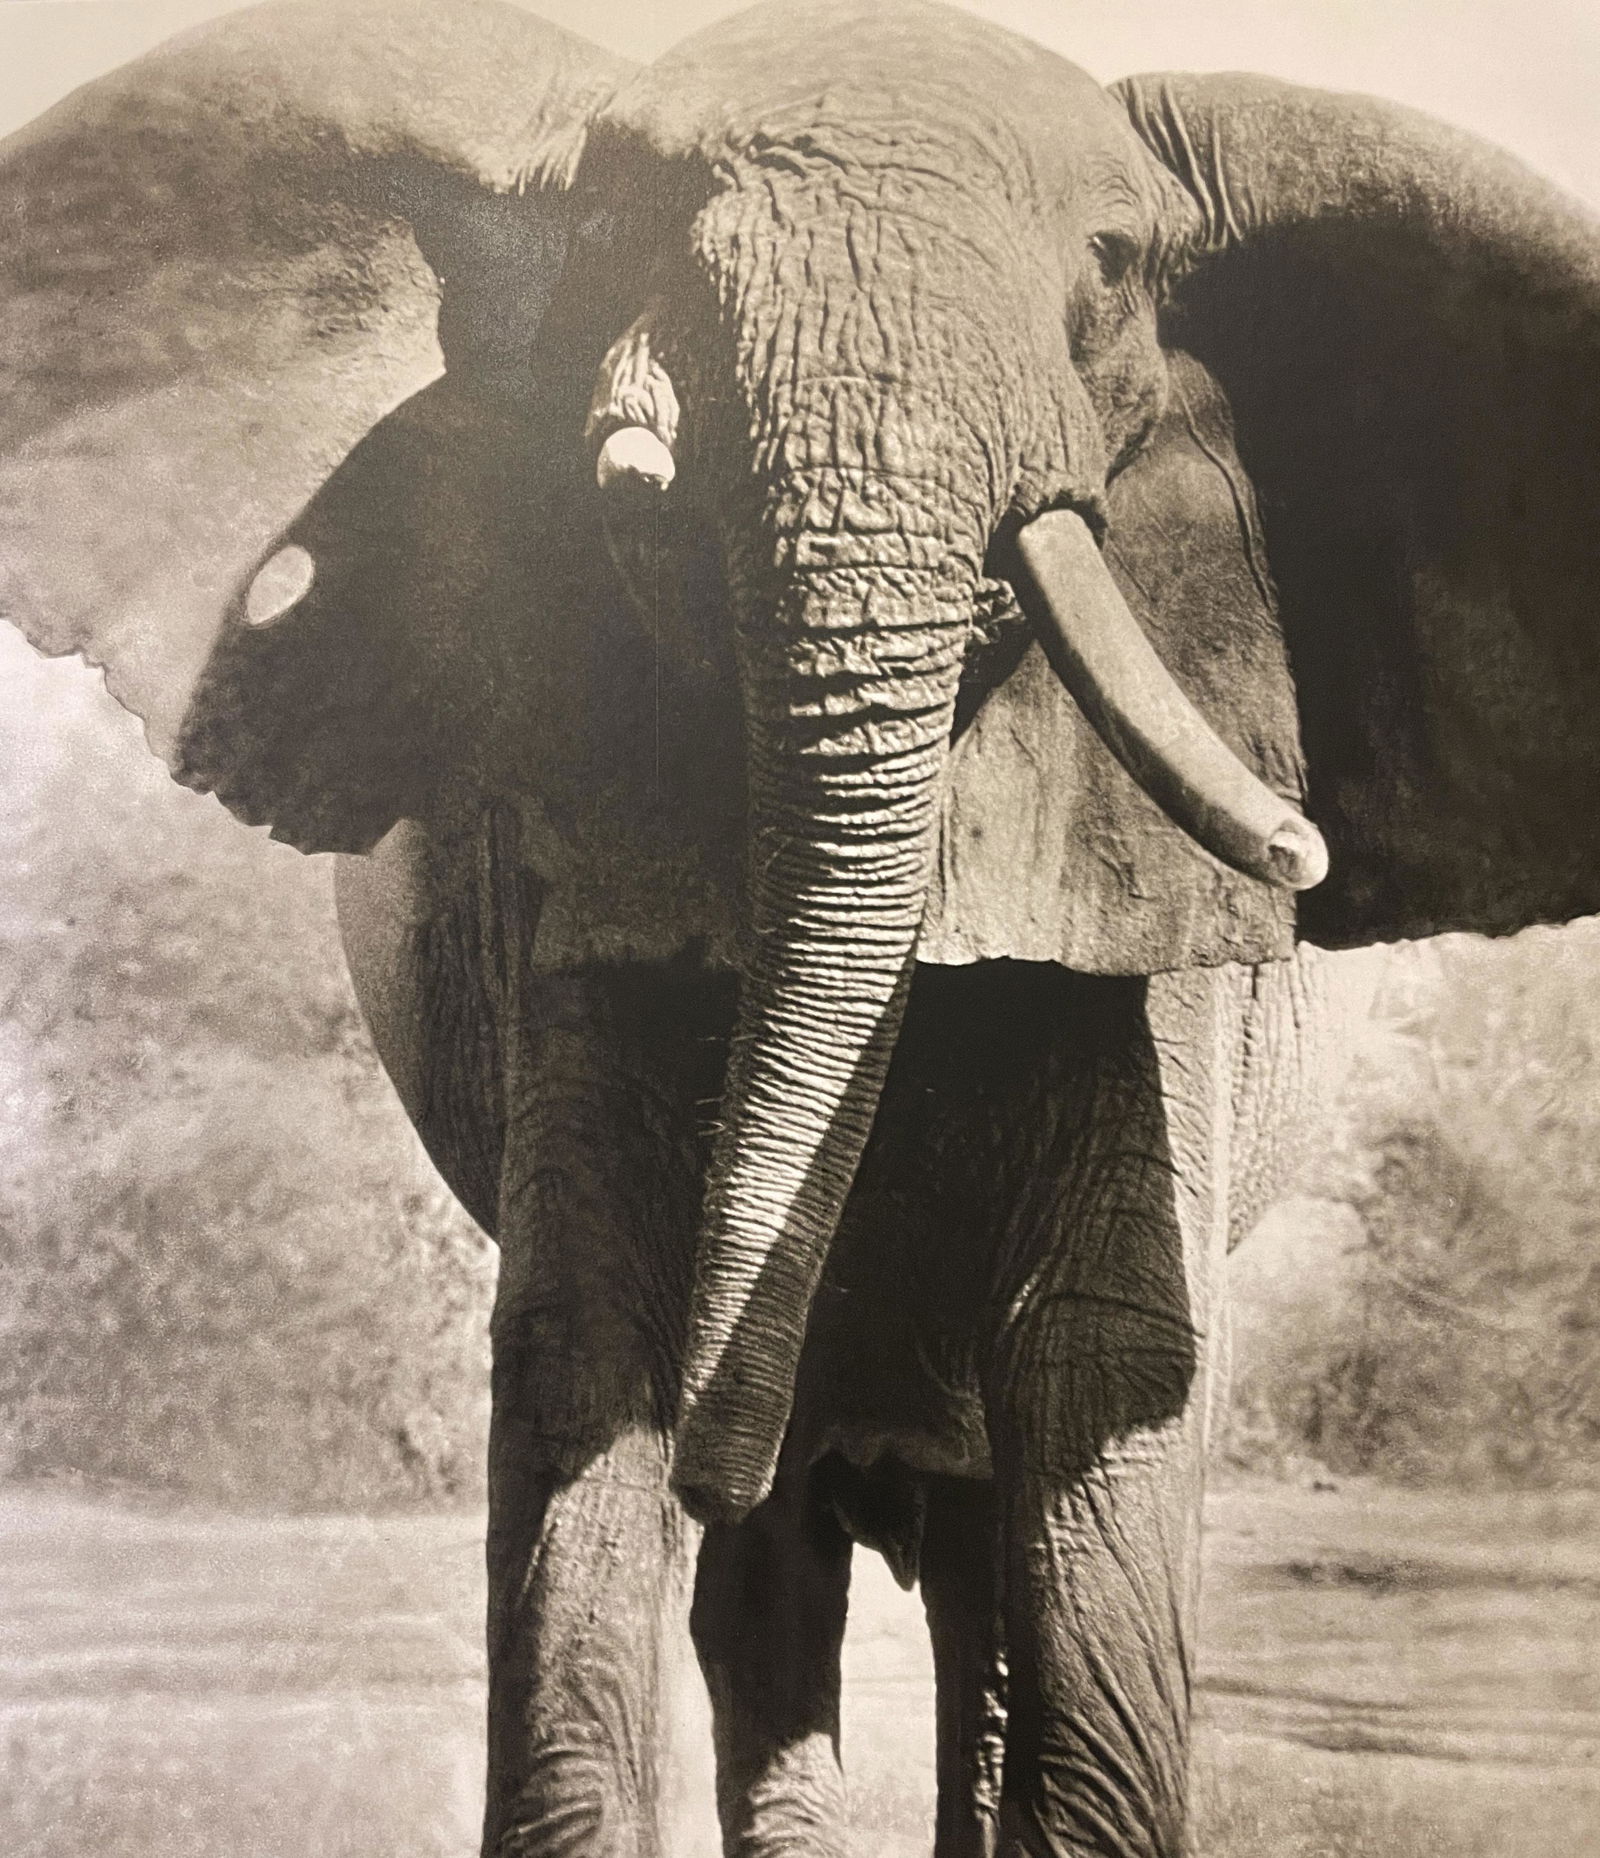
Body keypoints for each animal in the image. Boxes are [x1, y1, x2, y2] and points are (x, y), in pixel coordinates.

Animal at [2, 0, 1597, 1851]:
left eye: (1113, 268)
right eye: (622, 249)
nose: (1296, 838)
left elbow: (1106, 1358)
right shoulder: (555, 894)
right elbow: (585, 1348)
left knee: (980, 1555)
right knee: (778, 1593)